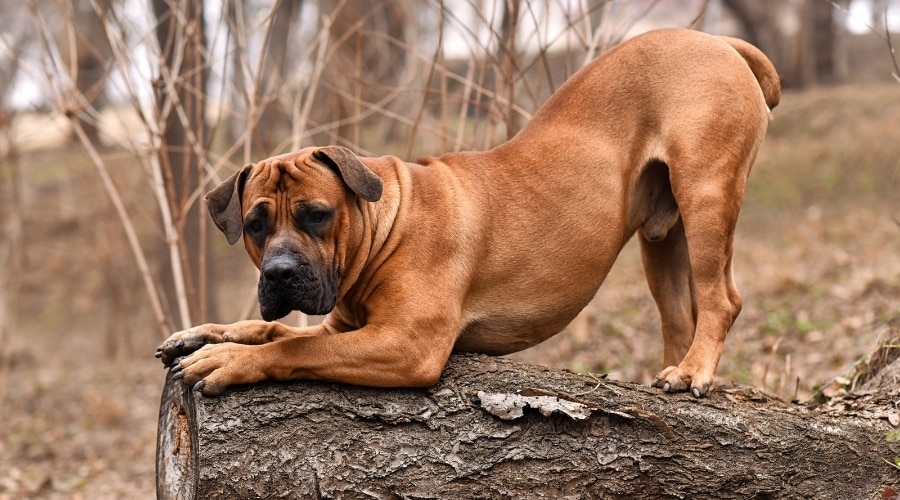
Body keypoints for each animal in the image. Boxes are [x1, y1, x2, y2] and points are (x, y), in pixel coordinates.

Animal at [156, 30, 780, 398]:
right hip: (662, 235)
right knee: (680, 313)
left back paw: (695, 372)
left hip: (705, 194)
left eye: (316, 214)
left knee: (722, 299)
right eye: (256, 225)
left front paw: (225, 359)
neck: (387, 223)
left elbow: (295, 345)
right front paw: (204, 335)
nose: (280, 272)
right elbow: (268, 326)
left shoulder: (405, 343)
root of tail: (716, 39)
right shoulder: (346, 325)